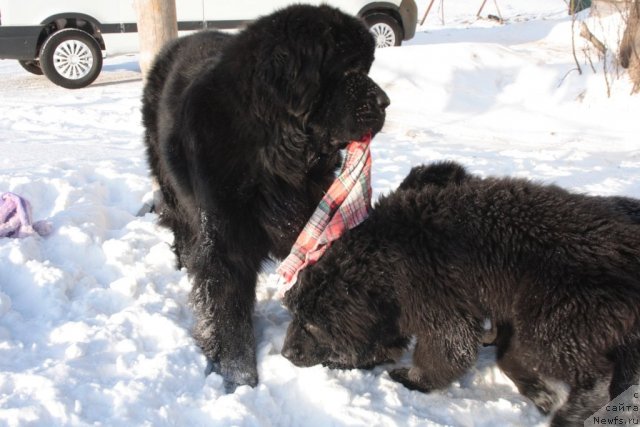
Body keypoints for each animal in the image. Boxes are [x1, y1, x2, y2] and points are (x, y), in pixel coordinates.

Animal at [141, 4, 390, 392]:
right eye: (349, 69)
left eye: (367, 68)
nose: (386, 102)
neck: (275, 155)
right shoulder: (225, 239)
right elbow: (229, 314)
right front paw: (240, 380)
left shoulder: (307, 218)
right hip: (172, 185)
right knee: (180, 226)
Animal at [282, 162, 640, 426]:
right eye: (295, 314)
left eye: (310, 323)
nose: (285, 353)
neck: (383, 262)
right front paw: (539, 392)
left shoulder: (436, 302)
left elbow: (448, 349)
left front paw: (412, 379)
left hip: (552, 320)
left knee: (594, 374)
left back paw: (571, 414)